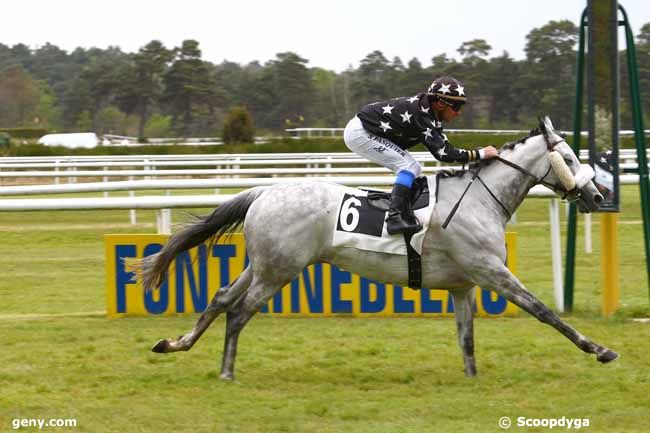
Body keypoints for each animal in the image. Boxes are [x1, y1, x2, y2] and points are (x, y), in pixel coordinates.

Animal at [135, 117, 612, 378]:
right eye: (570, 159)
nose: (597, 196)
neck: (479, 197)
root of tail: (263, 192)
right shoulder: (491, 271)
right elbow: (545, 312)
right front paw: (599, 350)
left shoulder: (463, 285)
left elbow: (467, 339)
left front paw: (473, 379)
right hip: (280, 270)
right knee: (238, 312)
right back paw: (226, 370)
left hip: (264, 264)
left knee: (220, 298)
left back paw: (174, 344)